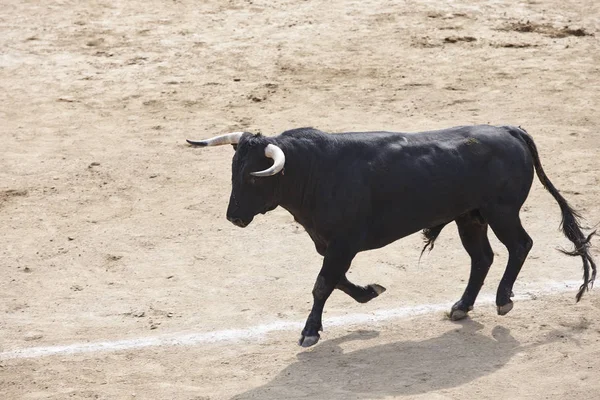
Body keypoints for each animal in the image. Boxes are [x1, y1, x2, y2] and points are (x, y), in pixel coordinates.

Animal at [189, 125, 596, 346]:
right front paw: (370, 292)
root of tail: (509, 130)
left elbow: (323, 284)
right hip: (470, 217)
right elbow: (336, 281)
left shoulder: (344, 243)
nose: (233, 217)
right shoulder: (330, 243)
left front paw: (310, 332)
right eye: (234, 170)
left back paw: (503, 299)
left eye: (254, 177)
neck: (315, 171)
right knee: (482, 258)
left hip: (502, 211)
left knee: (520, 245)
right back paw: (461, 307)